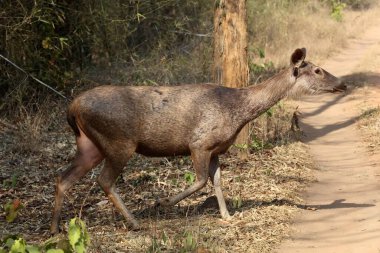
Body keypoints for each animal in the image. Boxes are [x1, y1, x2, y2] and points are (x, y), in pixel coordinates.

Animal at [49, 47, 344, 233]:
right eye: (317, 70)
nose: (342, 83)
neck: (238, 112)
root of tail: (72, 108)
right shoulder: (199, 143)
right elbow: (202, 180)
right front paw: (163, 202)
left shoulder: (215, 149)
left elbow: (217, 181)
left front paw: (227, 215)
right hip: (119, 141)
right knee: (104, 180)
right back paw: (134, 222)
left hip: (90, 145)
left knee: (63, 178)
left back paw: (54, 228)